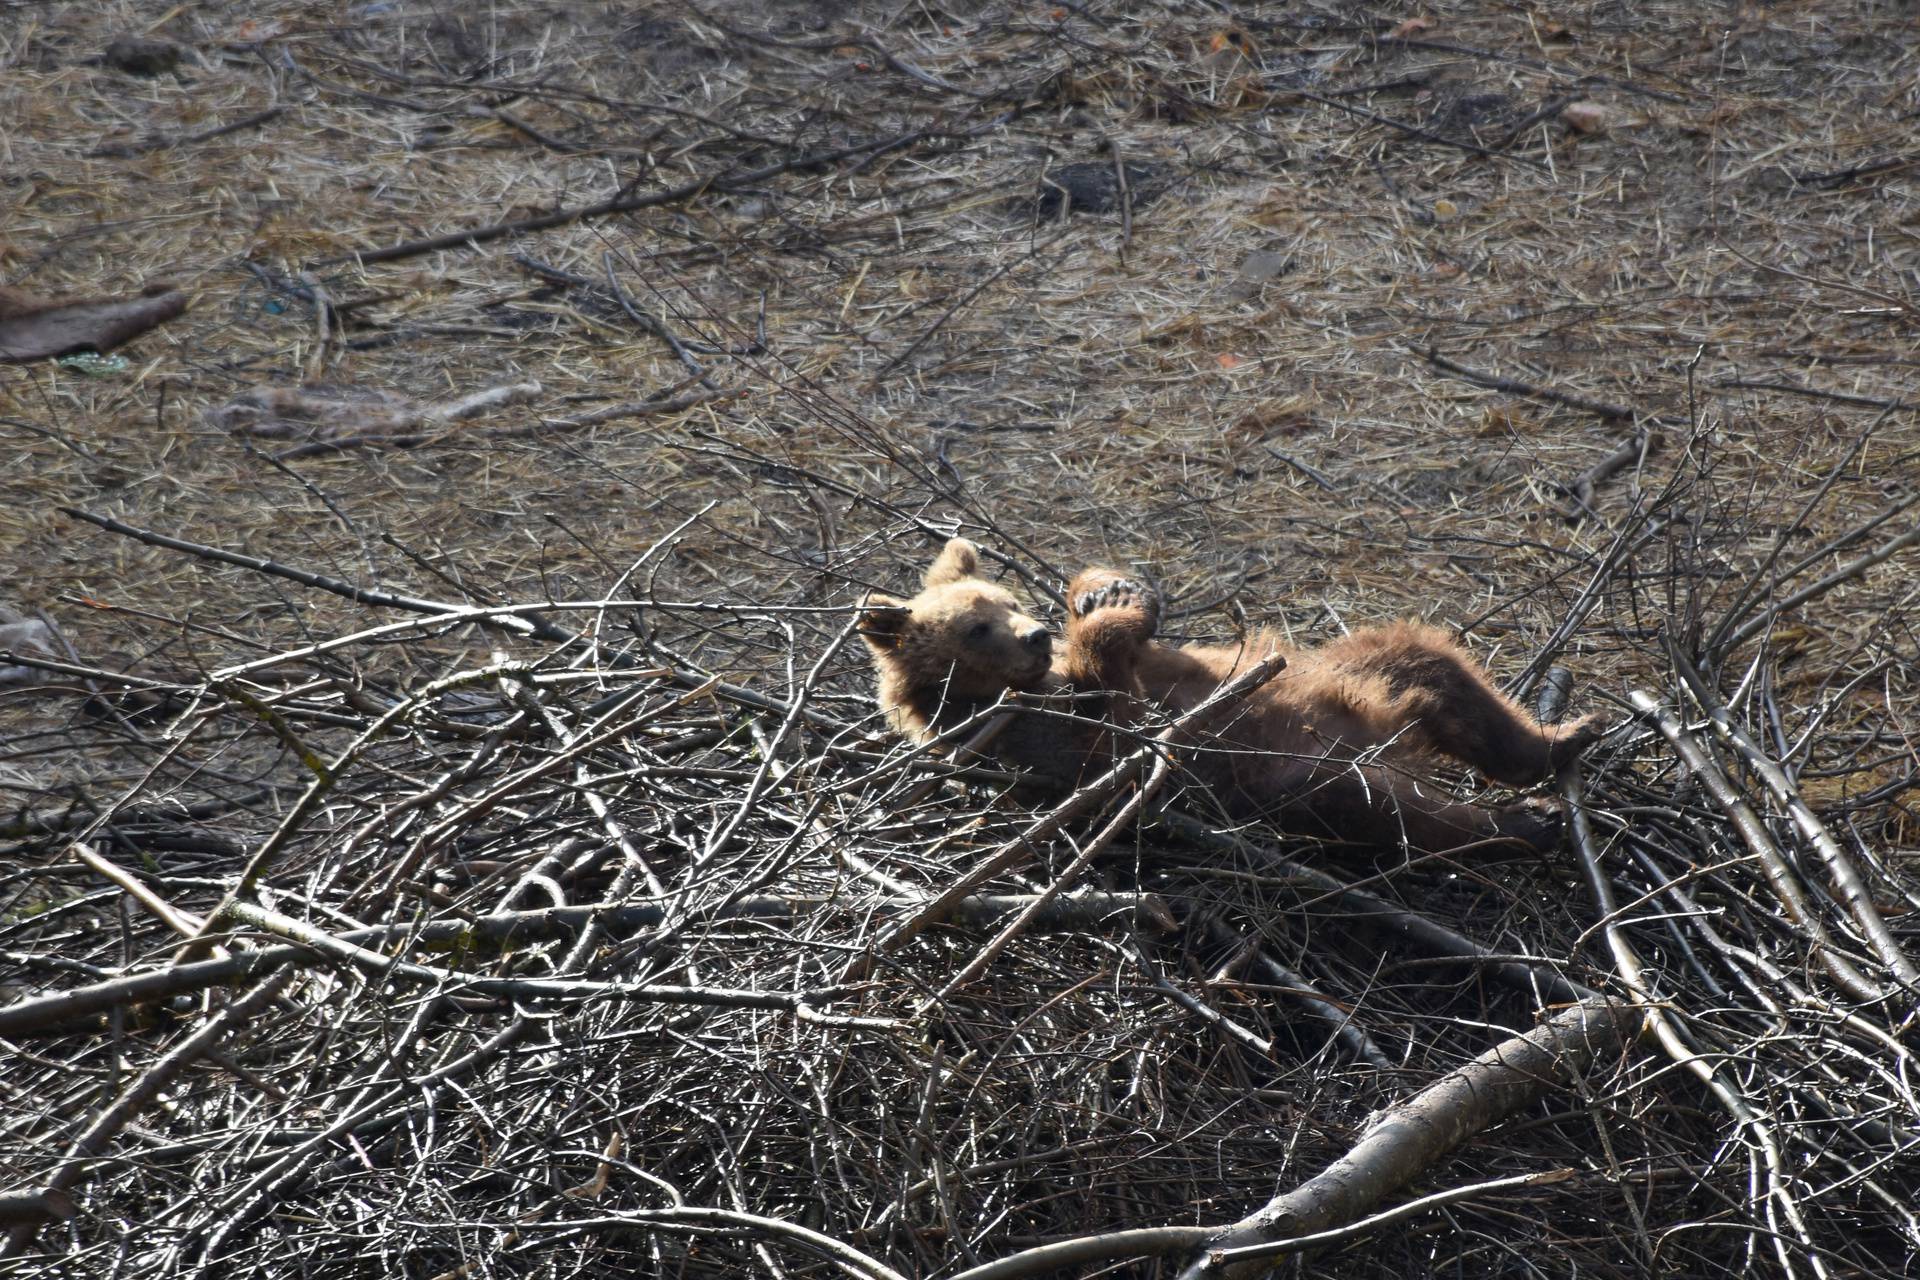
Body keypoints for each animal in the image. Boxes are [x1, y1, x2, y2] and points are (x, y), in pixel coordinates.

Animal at [860, 537, 1605, 855]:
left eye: (1006, 599)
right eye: (977, 627)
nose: (1036, 634)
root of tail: (1389, 736)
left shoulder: (1156, 668)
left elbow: (1140, 648)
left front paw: (1104, 590)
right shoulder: (1039, 742)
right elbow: (1115, 718)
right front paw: (1107, 608)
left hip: (1353, 666)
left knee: (1438, 668)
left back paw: (1565, 738)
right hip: (1300, 776)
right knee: (1396, 813)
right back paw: (1524, 821)